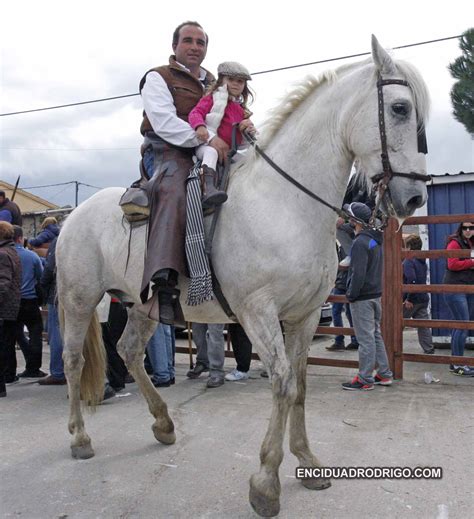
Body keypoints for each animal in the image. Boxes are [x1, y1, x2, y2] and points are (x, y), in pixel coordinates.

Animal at [55, 35, 430, 516]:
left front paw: (307, 461)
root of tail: (74, 215)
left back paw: (163, 423)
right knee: (73, 359)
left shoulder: (306, 315)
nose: (415, 196)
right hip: (79, 299)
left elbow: (299, 384)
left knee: (129, 351)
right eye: (400, 108)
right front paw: (266, 482)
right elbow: (283, 383)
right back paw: (80, 437)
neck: (285, 204)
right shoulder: (258, 312)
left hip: (143, 303)